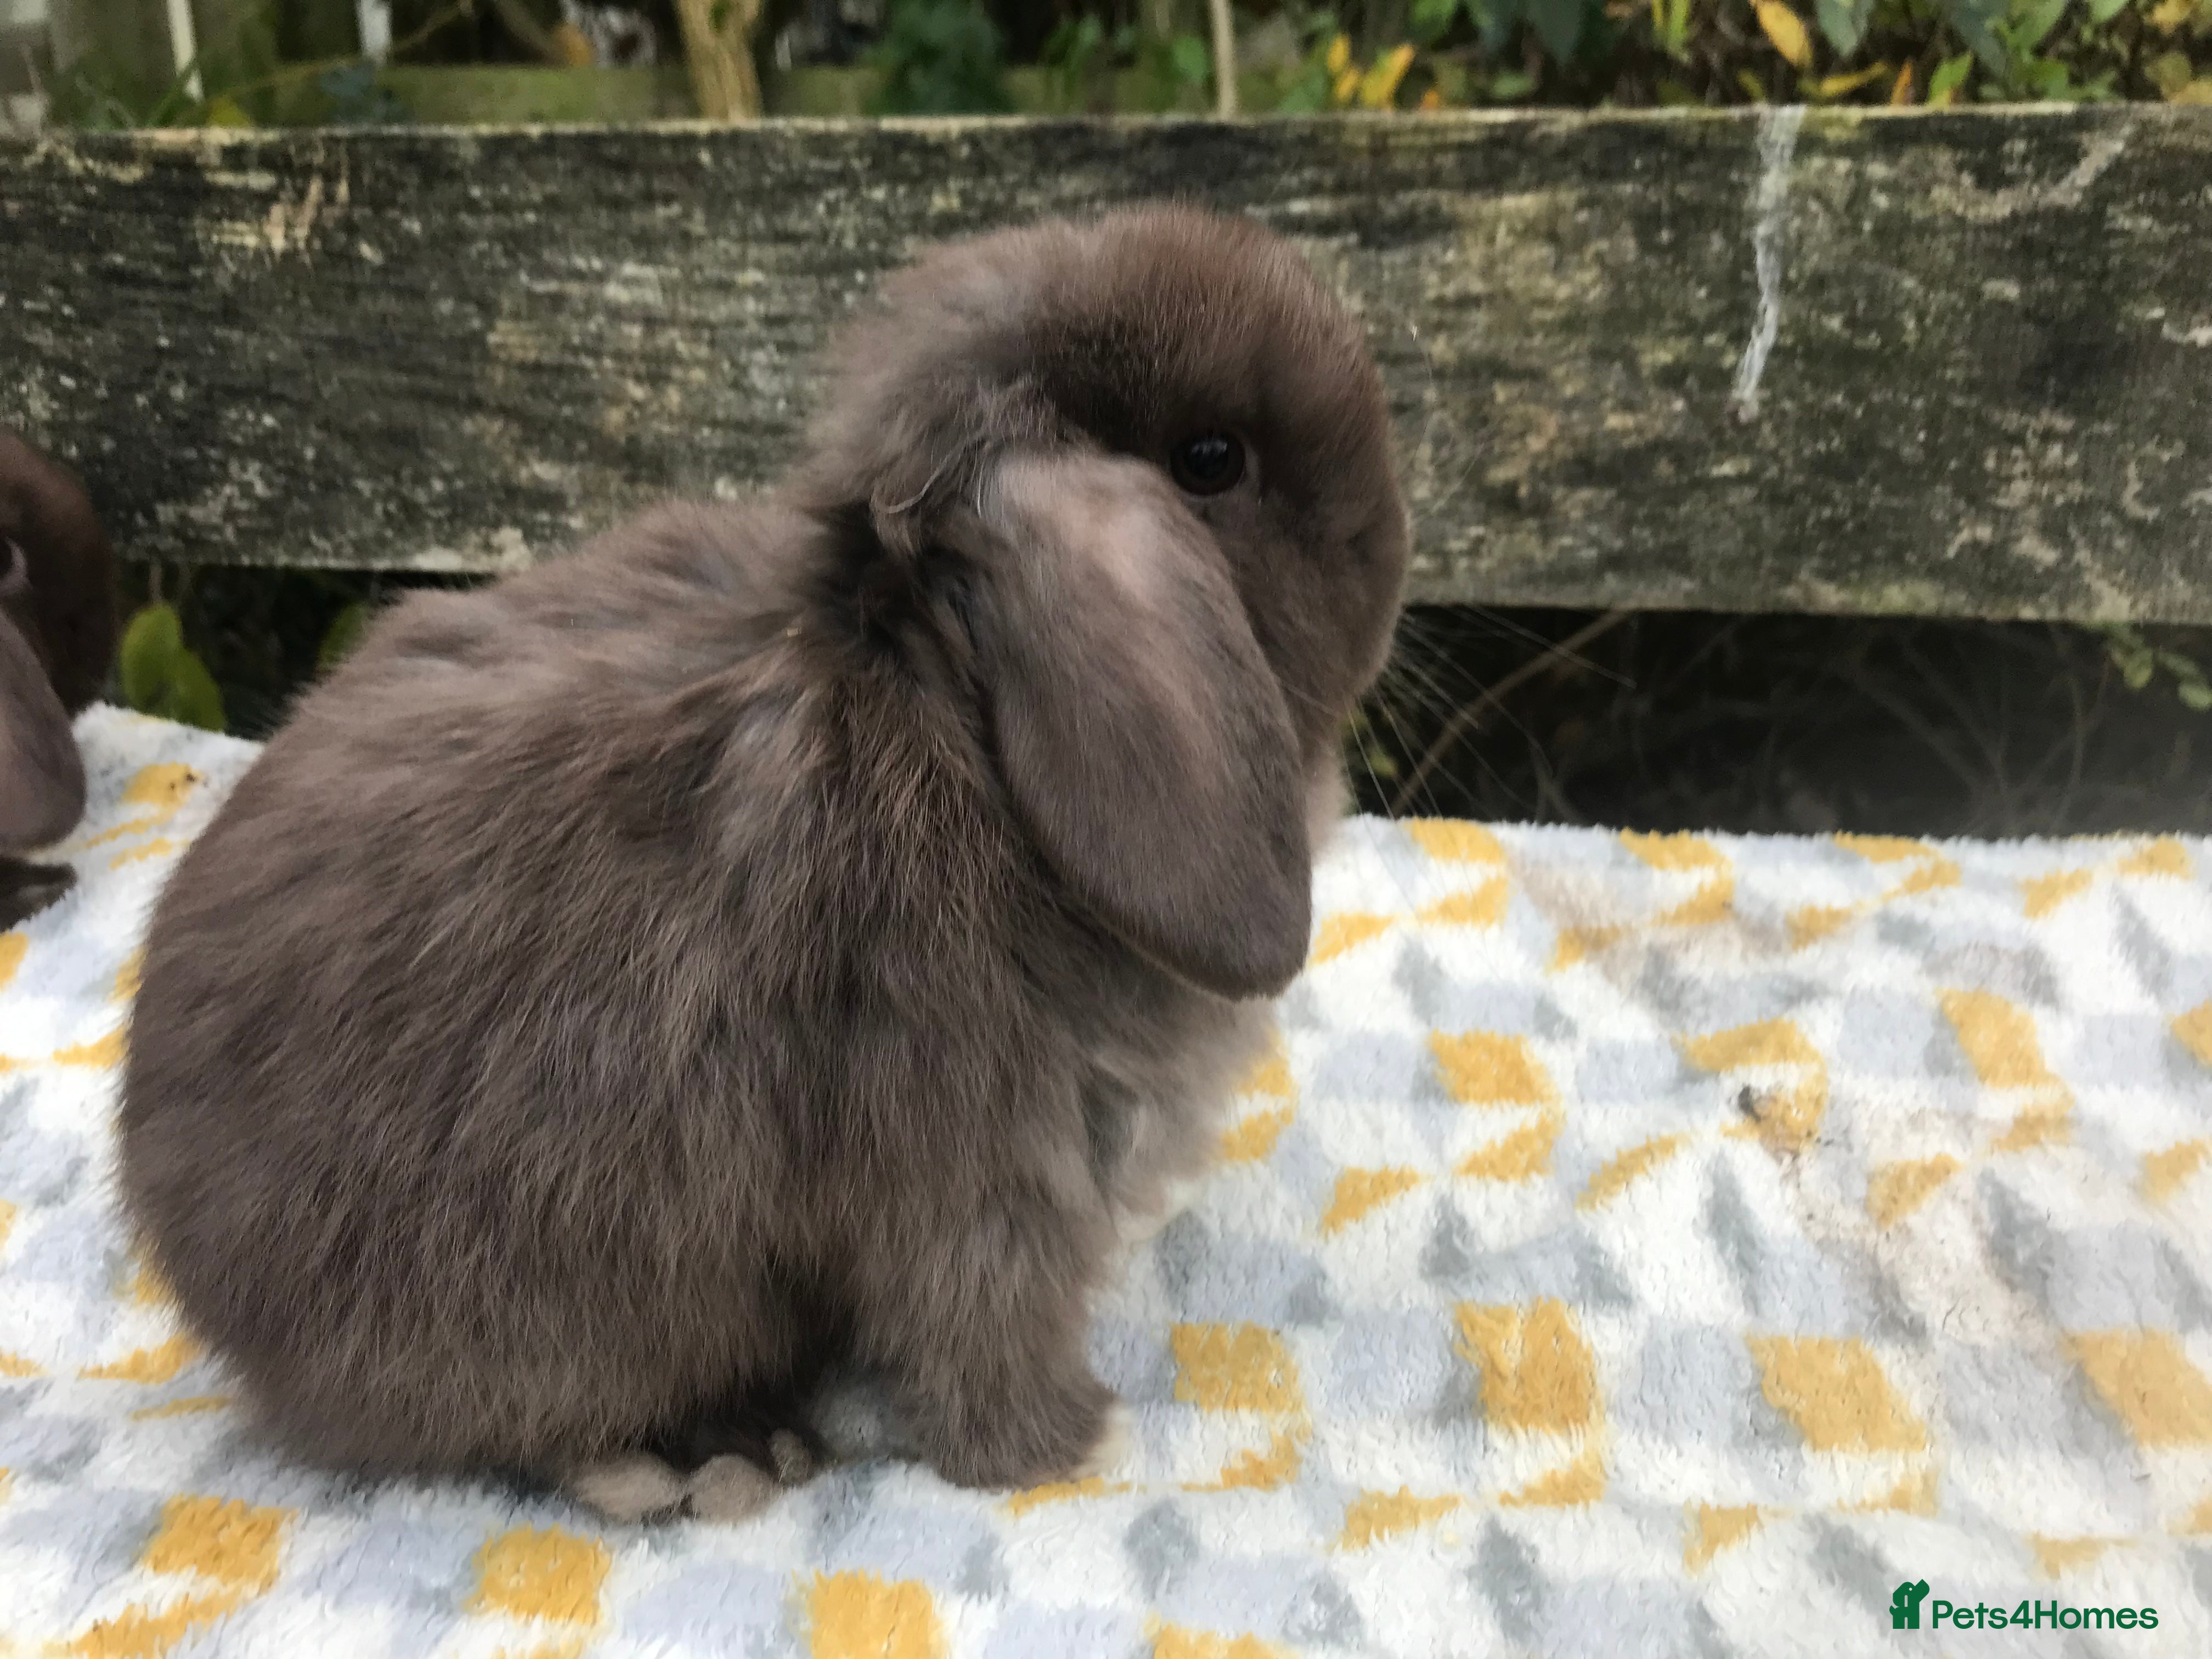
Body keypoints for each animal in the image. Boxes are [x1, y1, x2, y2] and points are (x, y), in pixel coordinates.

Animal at [116, 204, 1410, 1522]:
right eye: (1210, 460)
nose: (1394, 542)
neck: (955, 705)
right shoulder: (982, 1170)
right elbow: (980, 1340)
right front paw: (1071, 1448)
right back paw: (710, 1460)